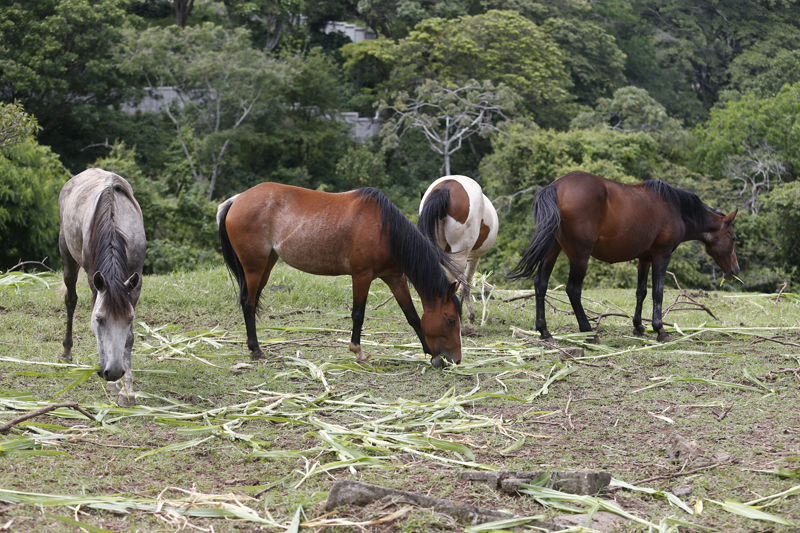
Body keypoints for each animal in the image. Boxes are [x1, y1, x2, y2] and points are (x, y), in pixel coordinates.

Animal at [59, 168, 146, 407]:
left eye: (130, 319)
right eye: (99, 319)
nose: (114, 372)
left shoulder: (134, 284)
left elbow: (129, 338)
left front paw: (127, 389)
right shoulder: (95, 282)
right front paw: (113, 382)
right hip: (67, 256)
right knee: (70, 300)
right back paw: (66, 352)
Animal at [217, 183, 462, 367]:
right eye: (451, 320)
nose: (456, 360)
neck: (386, 230)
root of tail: (236, 200)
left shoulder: (395, 277)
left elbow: (411, 315)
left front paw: (430, 353)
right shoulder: (362, 276)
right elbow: (358, 314)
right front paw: (358, 352)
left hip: (266, 265)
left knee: (251, 301)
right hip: (254, 267)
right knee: (248, 303)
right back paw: (256, 350)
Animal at [509, 171, 739, 342]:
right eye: (733, 237)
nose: (735, 270)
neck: (676, 208)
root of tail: (556, 186)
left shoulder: (644, 258)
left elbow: (641, 292)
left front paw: (638, 326)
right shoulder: (661, 256)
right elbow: (658, 293)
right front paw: (660, 330)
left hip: (552, 250)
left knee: (540, 284)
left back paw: (544, 331)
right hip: (580, 255)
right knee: (573, 290)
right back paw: (588, 331)